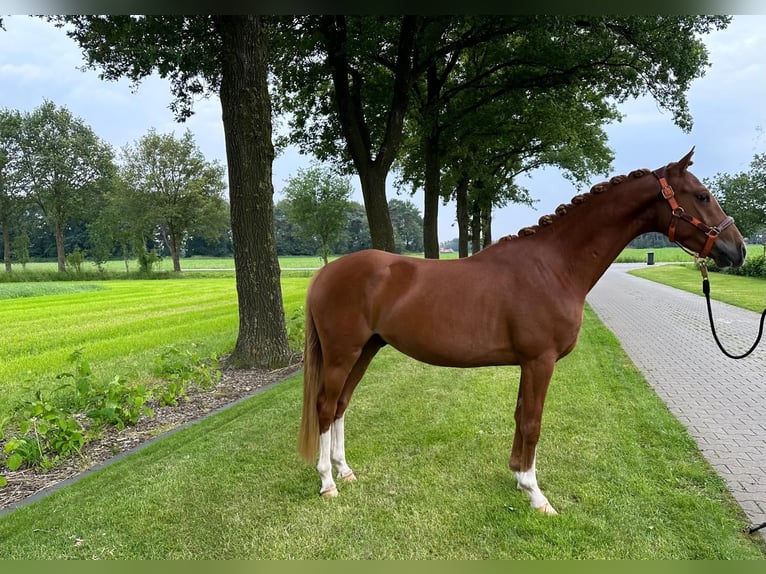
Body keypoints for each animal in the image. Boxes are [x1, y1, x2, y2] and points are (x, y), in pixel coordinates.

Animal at [296, 151, 748, 516]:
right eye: (702, 195)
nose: (738, 250)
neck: (553, 266)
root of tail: (324, 273)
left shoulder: (528, 363)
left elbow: (519, 416)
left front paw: (517, 477)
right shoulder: (539, 361)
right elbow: (532, 422)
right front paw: (536, 495)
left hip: (366, 350)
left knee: (341, 406)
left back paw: (346, 471)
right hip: (342, 353)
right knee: (325, 407)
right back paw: (328, 483)